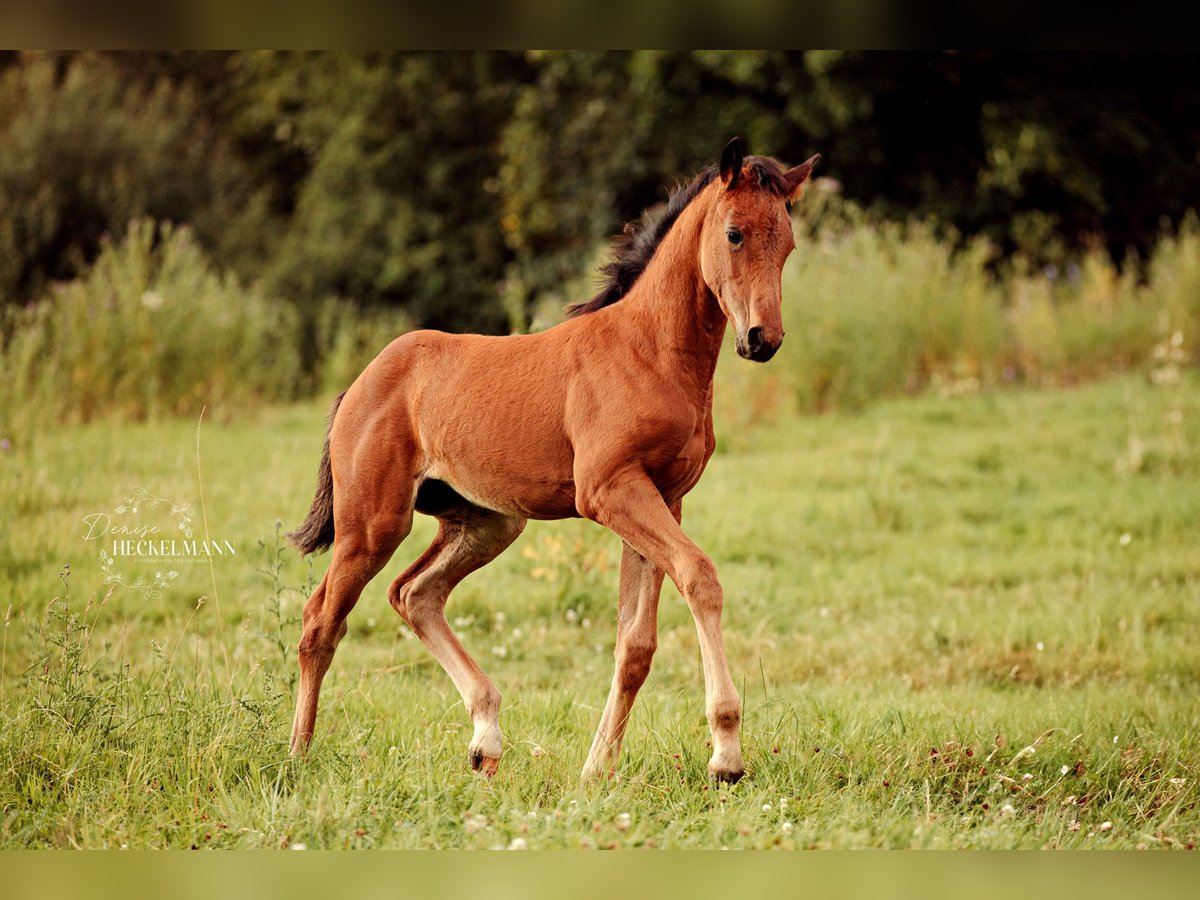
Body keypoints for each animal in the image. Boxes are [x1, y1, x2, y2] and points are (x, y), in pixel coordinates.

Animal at [285, 139, 820, 782]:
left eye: (787, 244)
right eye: (735, 234)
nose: (764, 339)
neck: (650, 351)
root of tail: (358, 385)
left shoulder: (664, 498)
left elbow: (636, 645)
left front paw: (597, 770)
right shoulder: (611, 491)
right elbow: (700, 577)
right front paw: (726, 753)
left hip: (488, 523)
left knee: (414, 595)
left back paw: (486, 741)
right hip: (372, 525)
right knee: (321, 622)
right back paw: (297, 756)